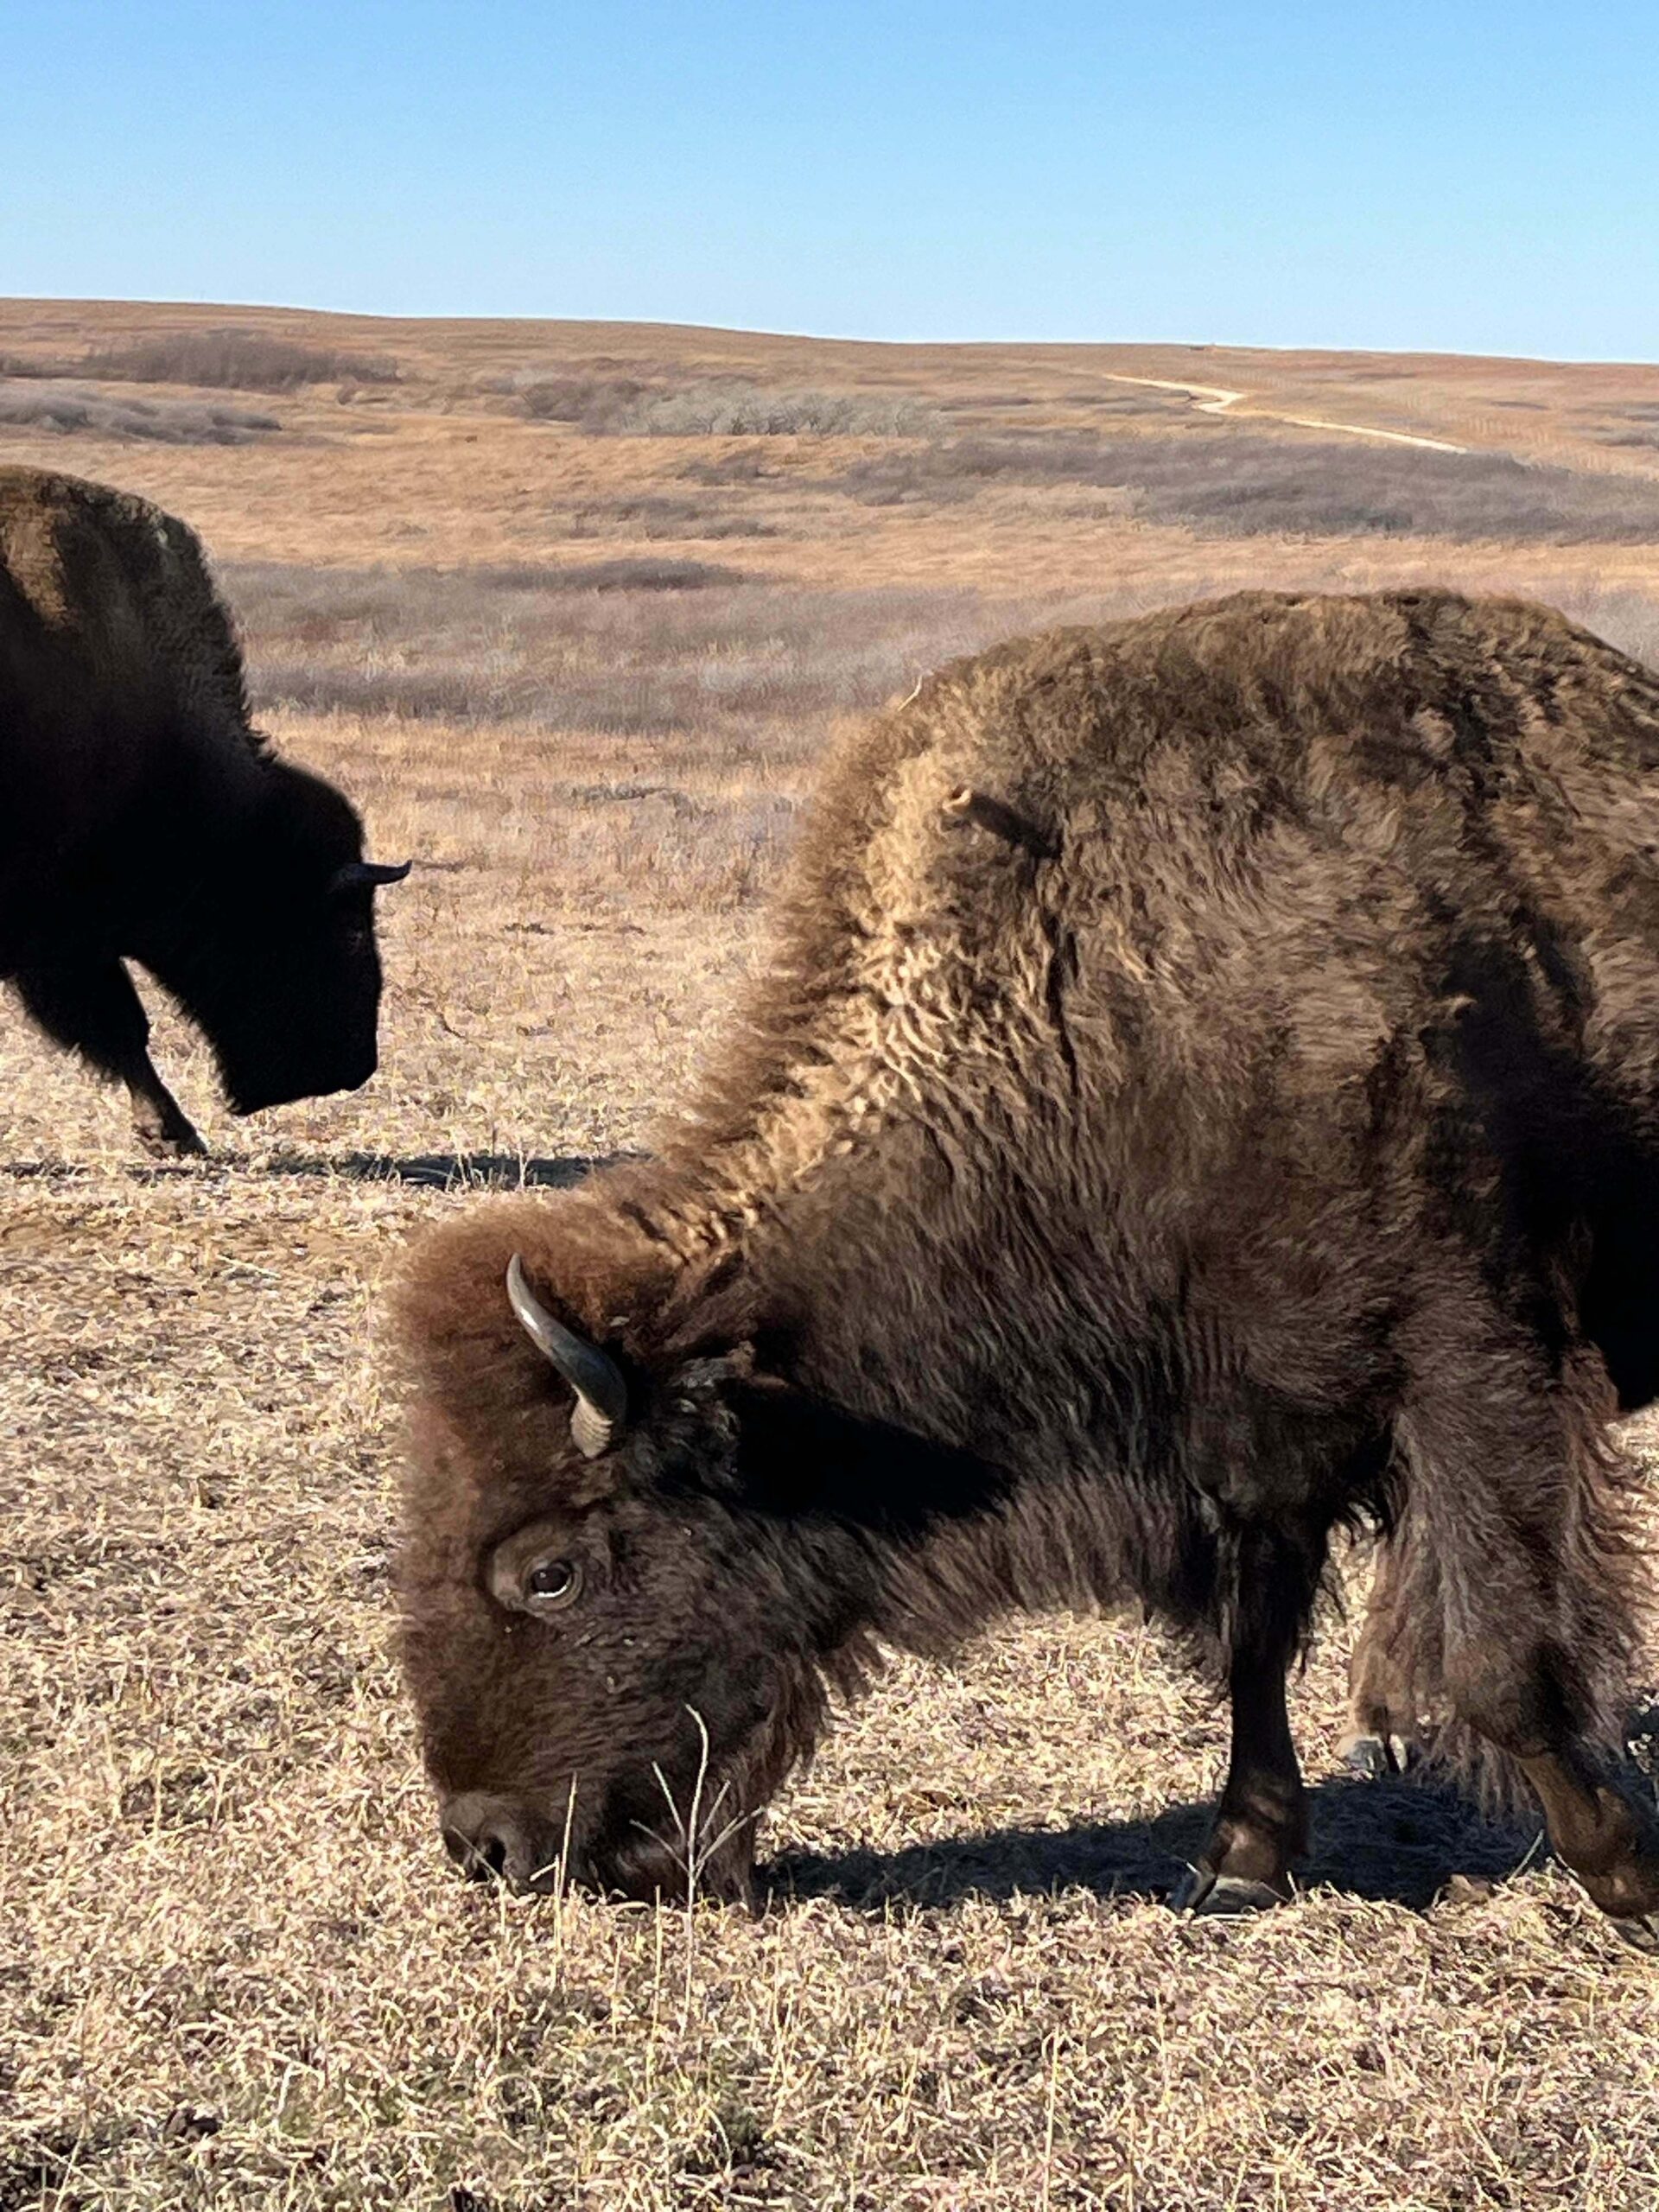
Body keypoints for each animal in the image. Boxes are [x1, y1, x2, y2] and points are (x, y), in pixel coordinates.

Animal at [397, 589, 1659, 1950]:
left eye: (549, 1572)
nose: (486, 1843)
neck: (1085, 1014)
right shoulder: (1248, 1424)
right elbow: (1253, 1643)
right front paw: (1239, 1862)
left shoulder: (1469, 1361)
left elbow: (1499, 1655)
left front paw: (1627, 1876)